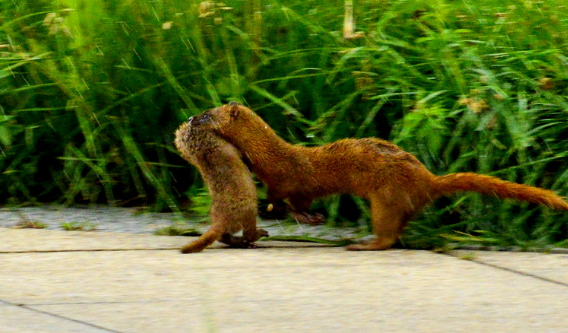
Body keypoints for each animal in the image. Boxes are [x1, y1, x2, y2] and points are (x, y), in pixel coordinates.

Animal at [173, 116, 268, 252]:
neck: (204, 151)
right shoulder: (229, 147)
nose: (190, 118)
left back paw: (242, 242)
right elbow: (240, 153)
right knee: (248, 233)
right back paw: (259, 235)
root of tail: (220, 220)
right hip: (250, 210)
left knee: (223, 236)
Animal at [194, 102, 568, 250]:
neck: (270, 155)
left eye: (207, 114)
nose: (191, 118)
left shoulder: (288, 180)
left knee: (387, 234)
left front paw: (305, 217)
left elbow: (291, 200)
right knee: (399, 227)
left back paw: (362, 244)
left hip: (385, 198)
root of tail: (428, 180)